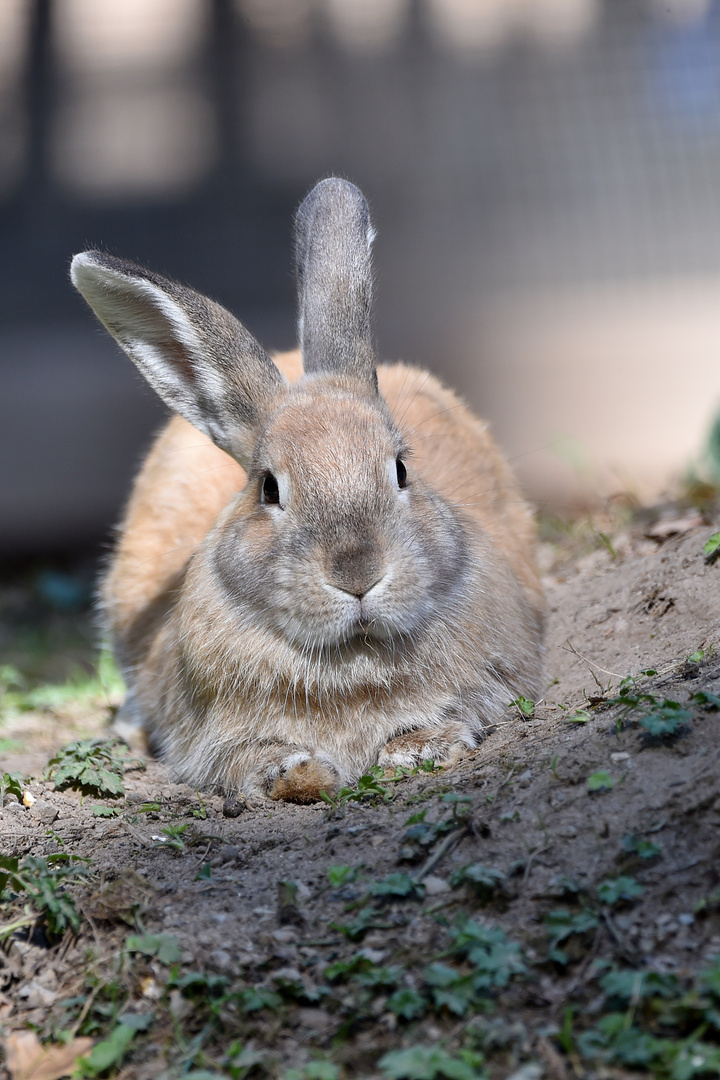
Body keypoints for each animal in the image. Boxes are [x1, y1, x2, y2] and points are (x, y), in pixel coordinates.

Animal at [71, 177, 546, 803]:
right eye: (269, 489)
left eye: (401, 470)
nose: (358, 575)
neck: (352, 656)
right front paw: (294, 772)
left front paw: (419, 748)